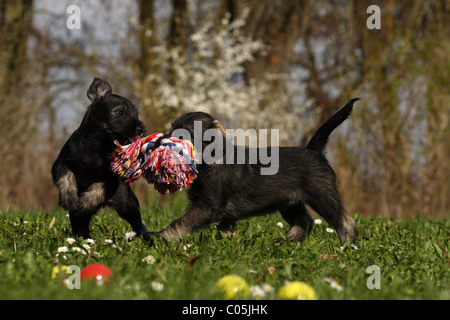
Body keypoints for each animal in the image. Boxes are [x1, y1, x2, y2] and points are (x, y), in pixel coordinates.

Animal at [51, 77, 149, 238]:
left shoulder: (111, 179)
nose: (141, 130)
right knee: (80, 225)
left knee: (139, 224)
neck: (97, 144)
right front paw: (70, 199)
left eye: (136, 114)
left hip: (127, 205)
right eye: (119, 112)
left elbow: (98, 190)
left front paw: (84, 203)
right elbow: (66, 176)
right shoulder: (60, 164)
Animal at [151, 99, 358, 244]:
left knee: (344, 222)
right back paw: (283, 241)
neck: (211, 162)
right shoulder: (221, 214)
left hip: (322, 194)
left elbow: (180, 222)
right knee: (304, 222)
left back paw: (346, 245)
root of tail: (313, 150)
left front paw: (160, 238)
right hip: (289, 201)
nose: (157, 143)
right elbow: (226, 231)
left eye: (185, 135)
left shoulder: (207, 206)